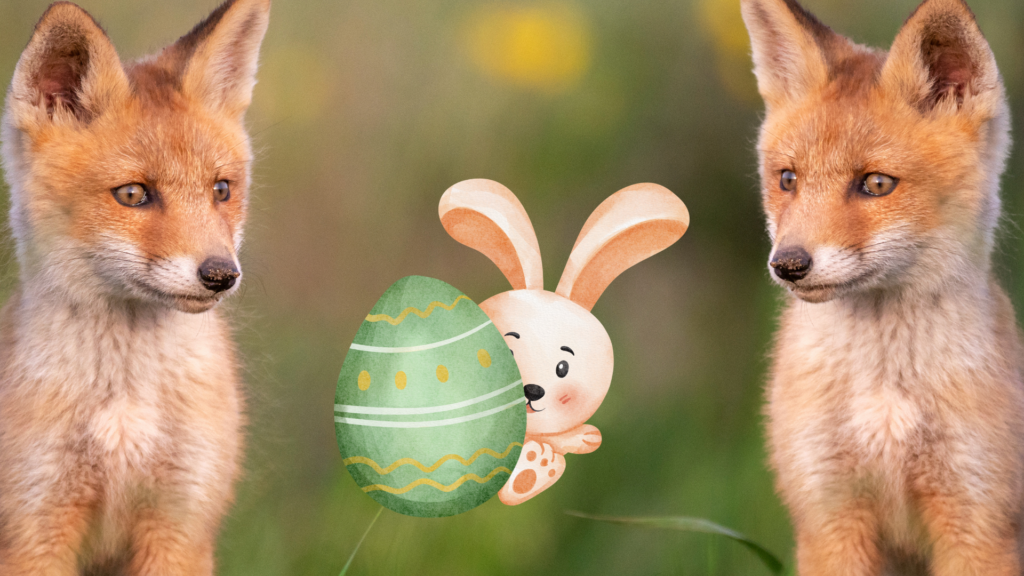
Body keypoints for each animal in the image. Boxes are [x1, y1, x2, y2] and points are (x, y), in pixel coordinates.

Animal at [0, 0, 269, 574]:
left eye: (222, 190)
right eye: (132, 194)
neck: (125, 408)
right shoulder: (33, 528)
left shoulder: (181, 523)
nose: (221, 274)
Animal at [740, 0, 1022, 574]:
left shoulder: (980, 520)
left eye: (875, 184)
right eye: (787, 179)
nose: (788, 264)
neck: (884, 397)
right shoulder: (829, 514)